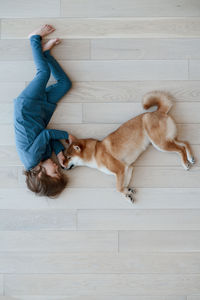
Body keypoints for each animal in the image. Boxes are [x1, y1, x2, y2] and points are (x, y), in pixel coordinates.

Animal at [63, 90, 195, 203]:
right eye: (64, 156)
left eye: (68, 157)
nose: (62, 166)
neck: (95, 152)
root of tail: (158, 111)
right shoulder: (127, 169)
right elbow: (123, 186)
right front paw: (128, 193)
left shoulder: (120, 170)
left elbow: (118, 188)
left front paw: (126, 193)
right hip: (167, 140)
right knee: (185, 143)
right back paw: (191, 158)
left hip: (160, 143)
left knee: (180, 149)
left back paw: (185, 163)